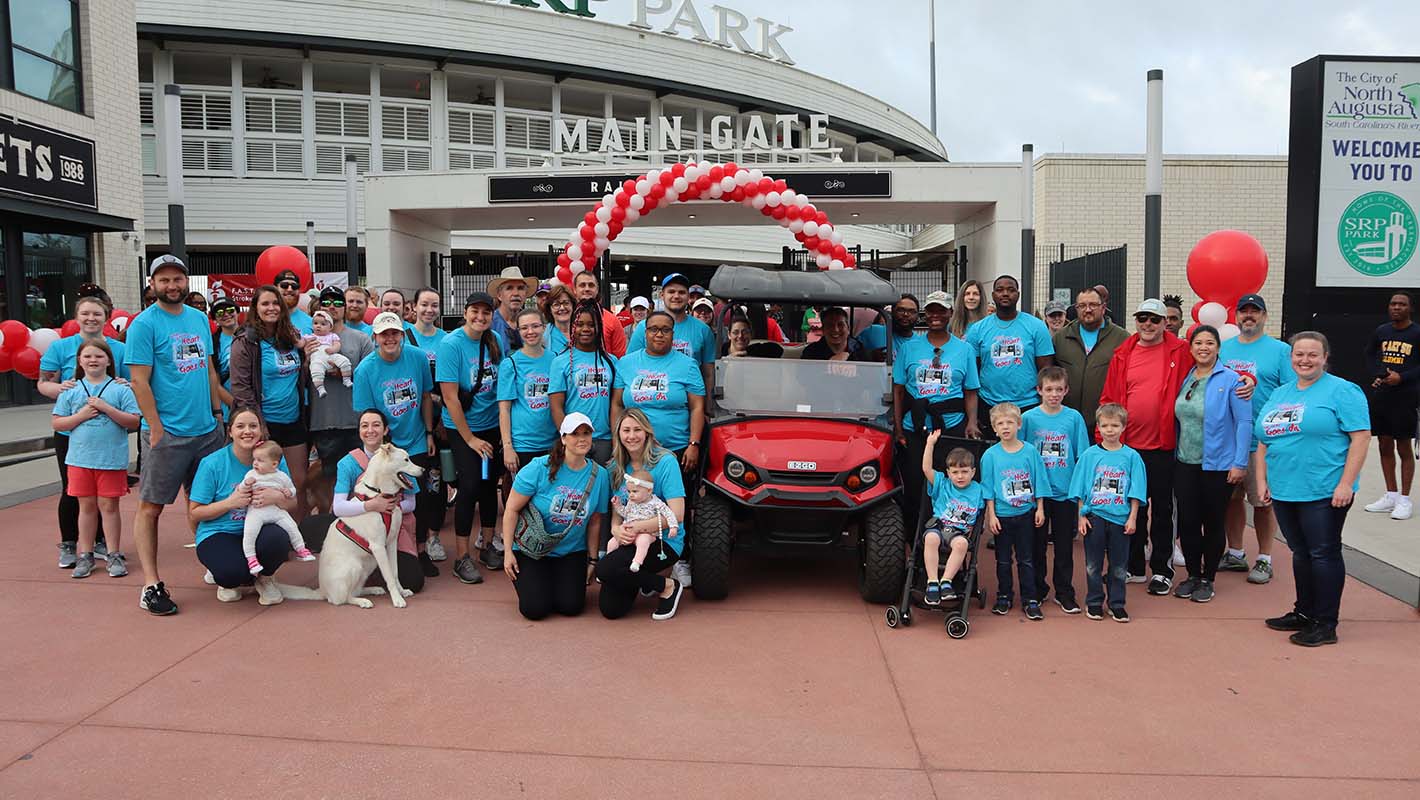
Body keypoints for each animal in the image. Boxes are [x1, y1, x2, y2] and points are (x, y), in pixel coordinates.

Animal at [276, 443, 420, 608]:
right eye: (406, 459)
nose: (423, 470)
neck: (378, 493)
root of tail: (323, 591)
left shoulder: (391, 543)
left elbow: (395, 572)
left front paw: (401, 592)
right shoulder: (378, 546)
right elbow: (389, 575)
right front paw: (397, 599)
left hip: (368, 565)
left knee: (354, 591)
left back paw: (373, 590)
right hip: (355, 565)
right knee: (342, 599)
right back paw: (362, 601)